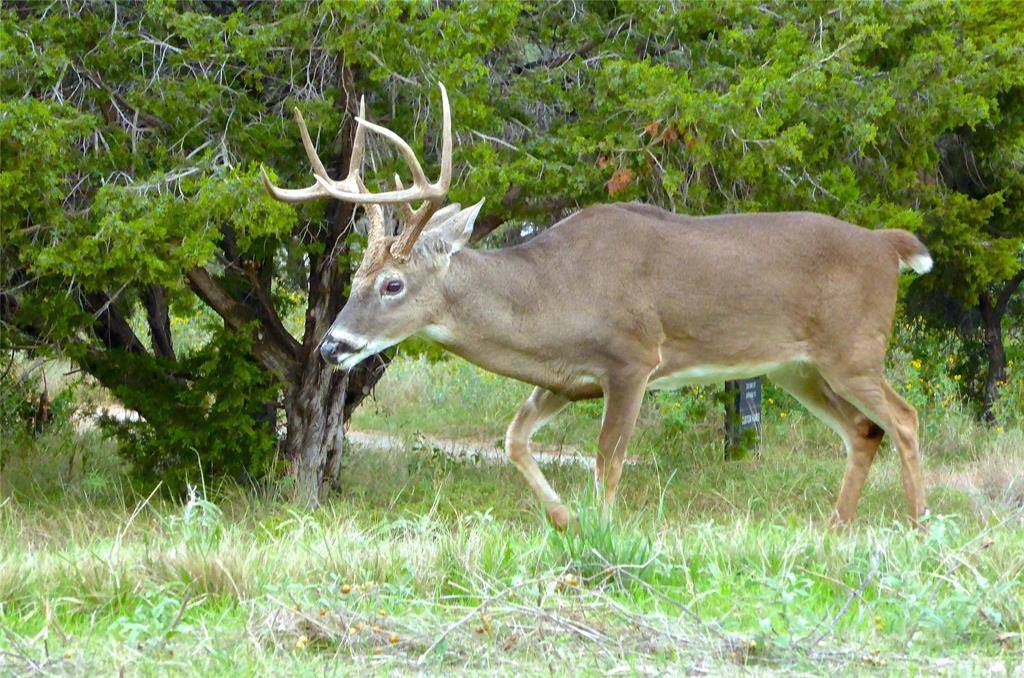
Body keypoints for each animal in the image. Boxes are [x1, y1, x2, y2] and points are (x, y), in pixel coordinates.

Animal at [260, 85, 933, 532]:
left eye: (393, 285)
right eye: (355, 276)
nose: (333, 345)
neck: (553, 295)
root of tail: (888, 246)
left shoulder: (633, 358)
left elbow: (609, 459)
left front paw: (603, 533)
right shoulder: (566, 378)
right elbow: (514, 438)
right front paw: (564, 519)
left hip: (852, 348)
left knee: (903, 418)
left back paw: (920, 525)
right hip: (796, 367)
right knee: (864, 430)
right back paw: (836, 530)